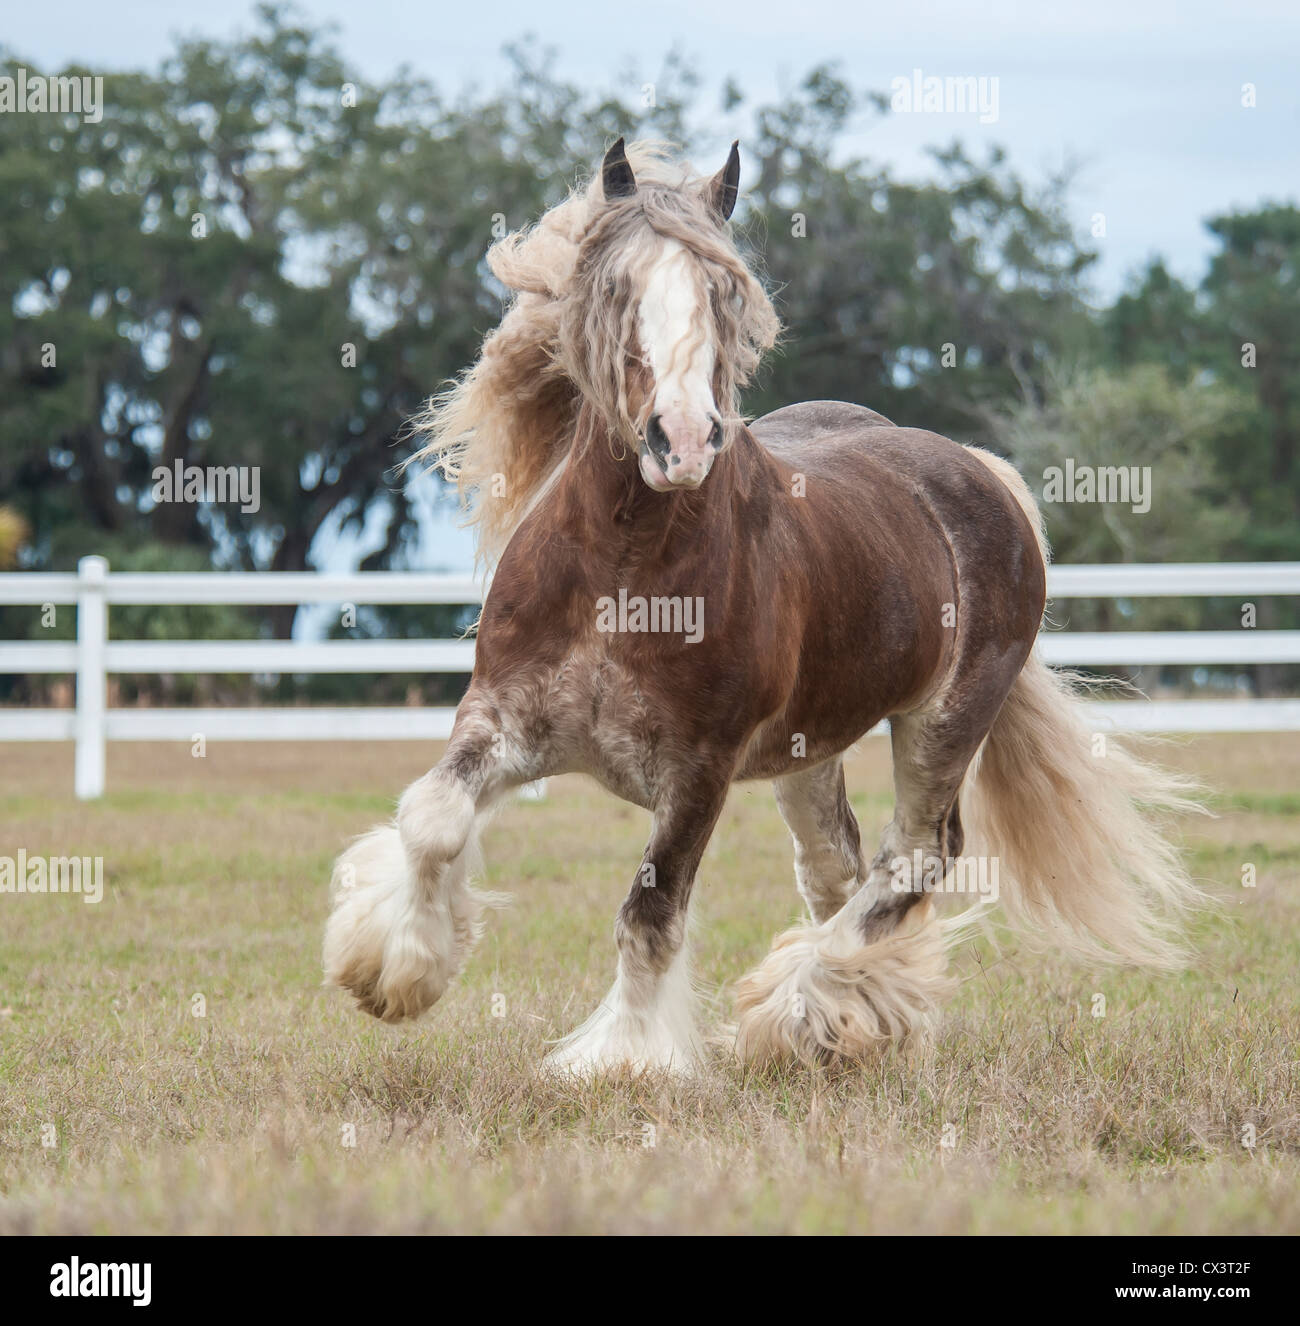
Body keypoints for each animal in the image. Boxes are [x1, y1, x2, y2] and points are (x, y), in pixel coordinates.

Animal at [319, 139, 1204, 1071]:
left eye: (724, 291)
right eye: (617, 286)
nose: (682, 440)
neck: (622, 573)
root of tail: (977, 470)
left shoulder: (699, 771)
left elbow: (651, 912)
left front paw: (622, 1058)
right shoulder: (502, 720)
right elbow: (433, 819)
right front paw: (391, 974)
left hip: (944, 721)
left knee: (915, 857)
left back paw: (799, 1005)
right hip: (809, 750)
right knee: (837, 866)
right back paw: (851, 1017)